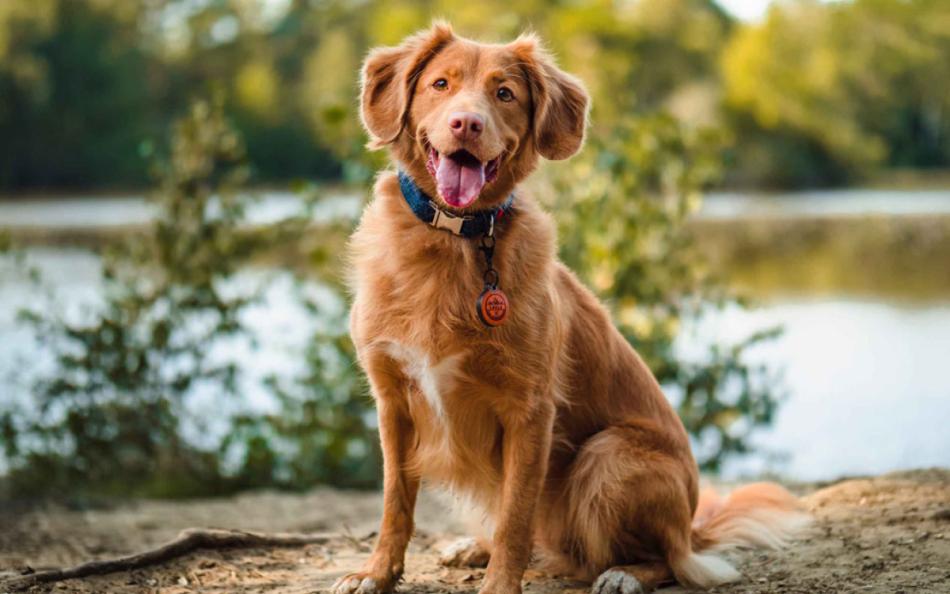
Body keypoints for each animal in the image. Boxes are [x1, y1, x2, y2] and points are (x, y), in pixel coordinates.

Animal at [336, 23, 812, 592]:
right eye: (440, 84)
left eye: (504, 93)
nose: (466, 123)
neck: (452, 240)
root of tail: (693, 526)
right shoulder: (393, 401)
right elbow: (395, 502)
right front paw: (376, 573)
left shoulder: (530, 409)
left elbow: (516, 515)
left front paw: (500, 584)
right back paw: (472, 548)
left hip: (608, 457)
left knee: (664, 560)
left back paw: (623, 574)